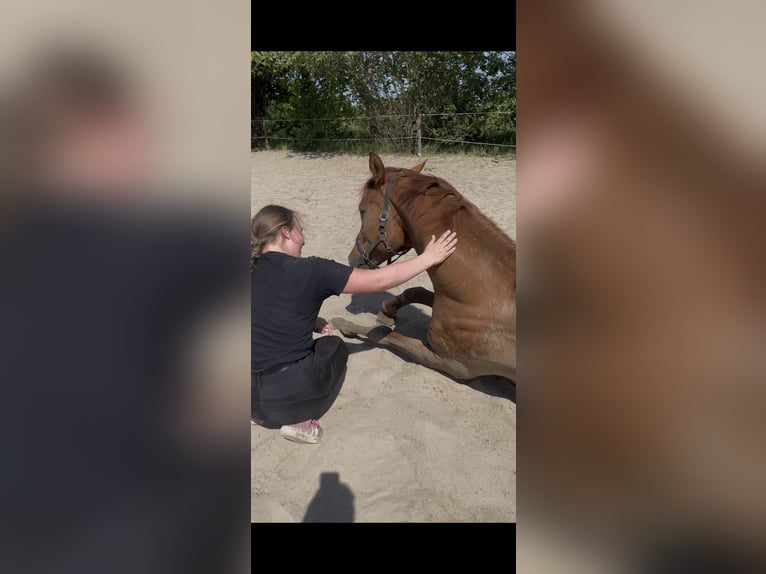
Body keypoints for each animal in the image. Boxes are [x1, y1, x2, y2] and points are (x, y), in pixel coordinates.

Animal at [331, 152, 516, 382]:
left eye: (362, 211)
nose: (351, 260)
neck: (486, 291)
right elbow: (415, 291)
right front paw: (386, 311)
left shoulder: (449, 362)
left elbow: (378, 333)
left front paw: (343, 325)